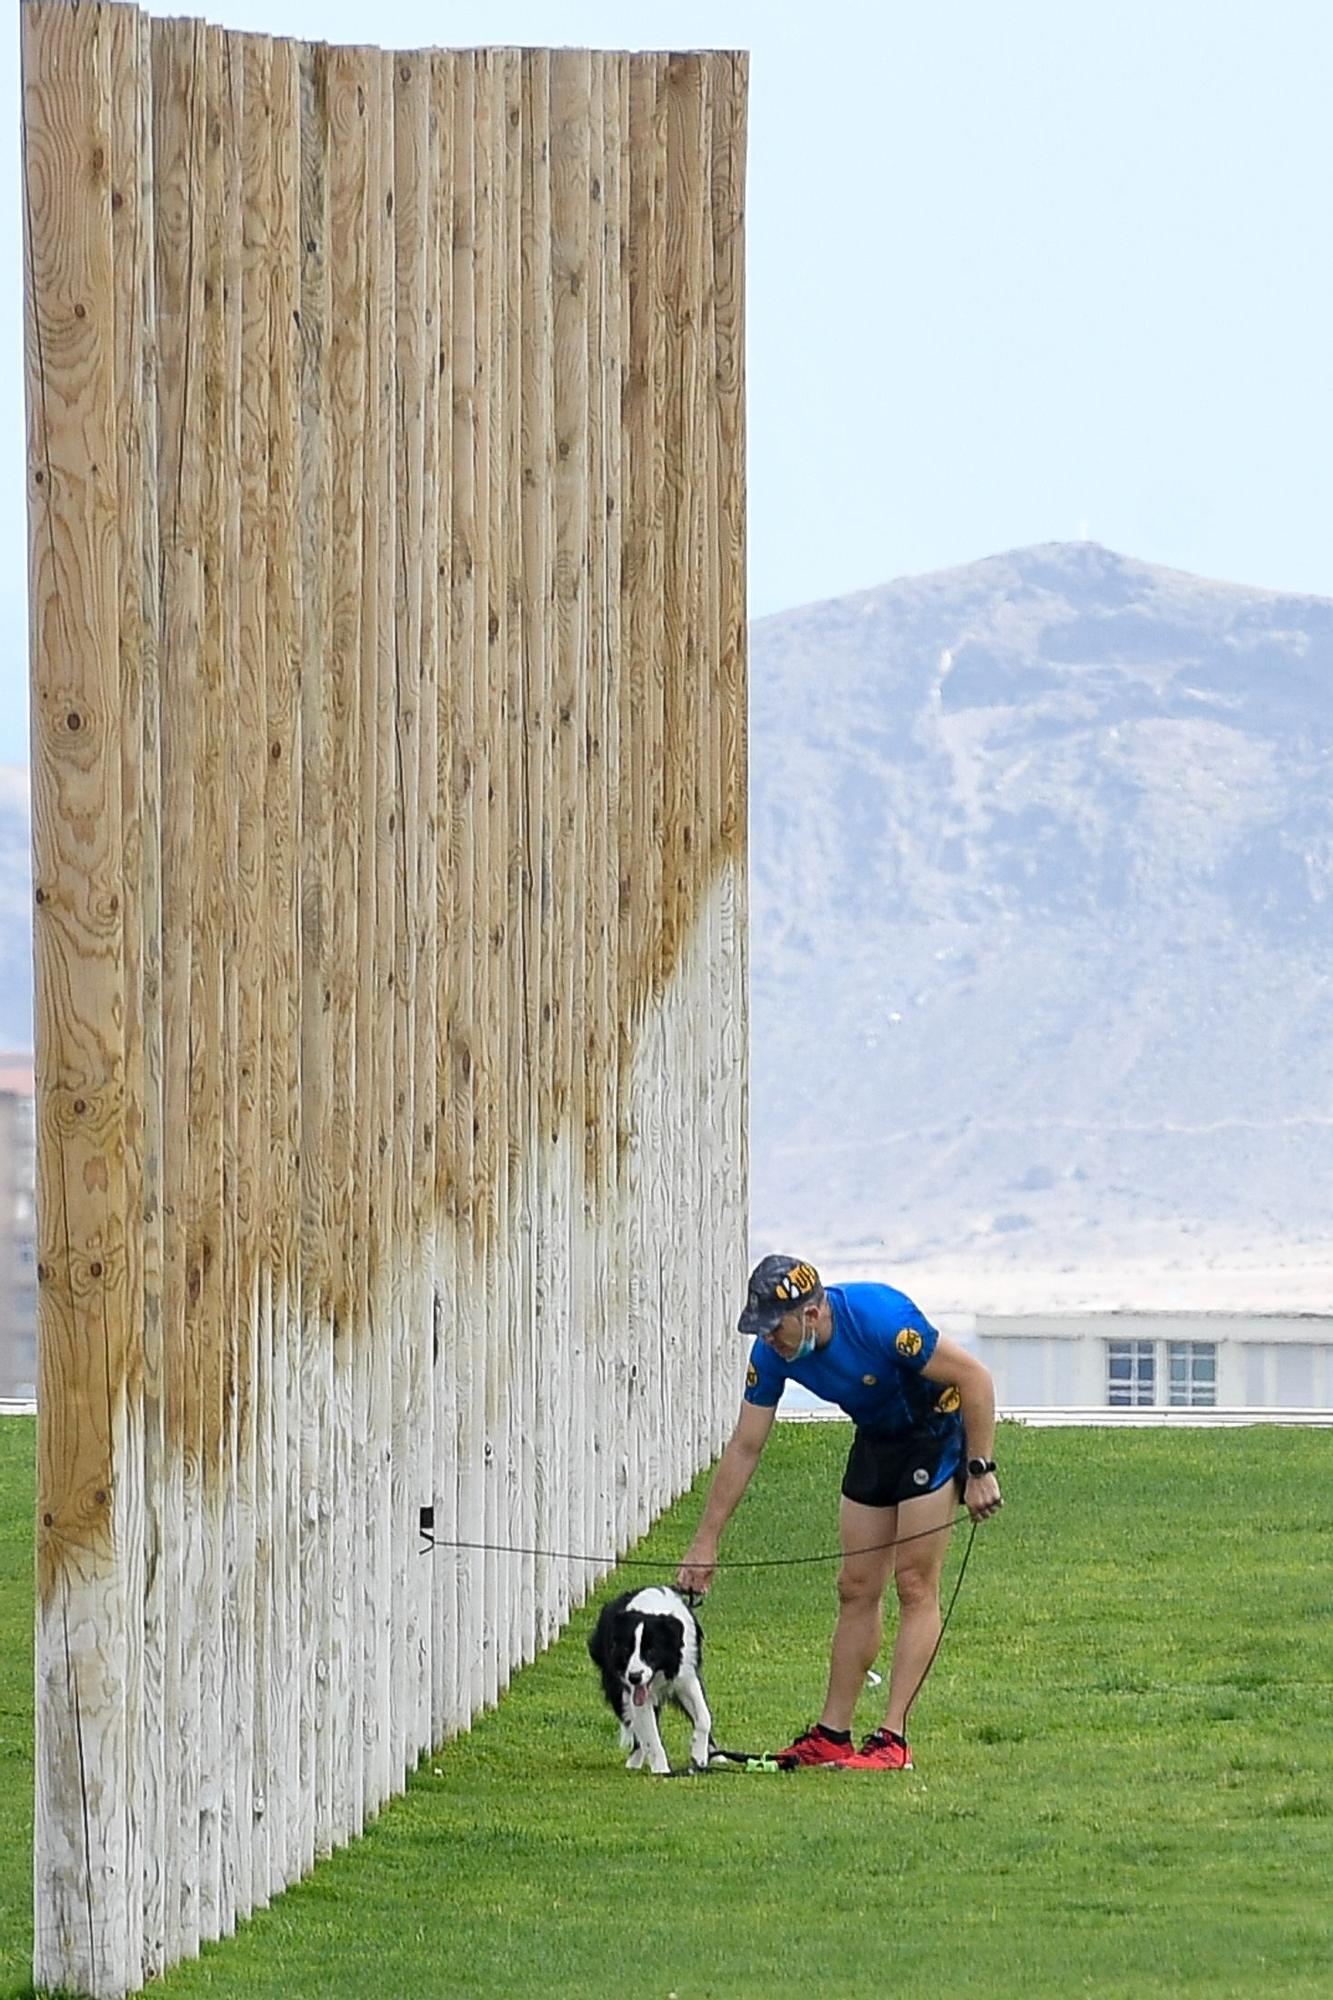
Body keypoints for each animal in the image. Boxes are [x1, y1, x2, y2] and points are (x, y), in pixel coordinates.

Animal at [588, 1584, 712, 1776]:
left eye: (651, 1650)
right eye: (626, 1650)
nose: (634, 1677)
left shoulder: (686, 1677)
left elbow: (704, 1717)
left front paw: (699, 1755)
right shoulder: (632, 1690)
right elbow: (651, 1734)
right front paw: (662, 1770)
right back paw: (635, 1760)